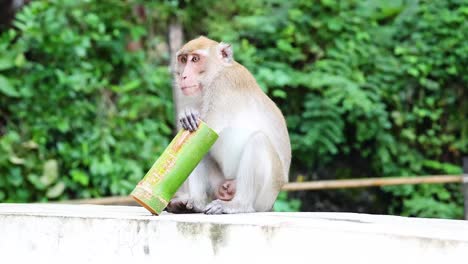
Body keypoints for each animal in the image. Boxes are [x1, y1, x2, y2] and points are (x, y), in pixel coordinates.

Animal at [165, 36, 288, 214]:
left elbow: (208, 128)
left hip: (265, 195)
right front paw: (187, 114)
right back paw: (196, 203)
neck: (216, 73)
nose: (184, 76)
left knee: (258, 141)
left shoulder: (224, 85)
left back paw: (238, 205)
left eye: (195, 59)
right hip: (218, 185)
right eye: (183, 59)